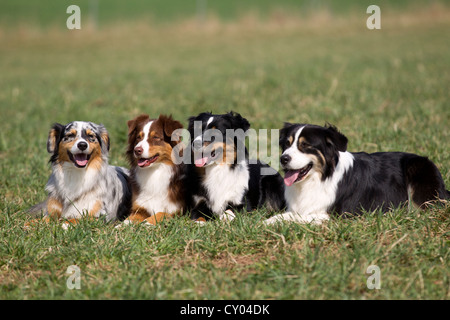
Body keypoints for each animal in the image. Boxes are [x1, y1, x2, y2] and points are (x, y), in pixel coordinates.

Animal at [264, 122, 450, 225]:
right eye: (287, 144)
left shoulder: (336, 215)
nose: (283, 158)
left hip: (418, 168)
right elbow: (284, 215)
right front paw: (267, 222)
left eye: (305, 145)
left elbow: (300, 218)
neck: (318, 179)